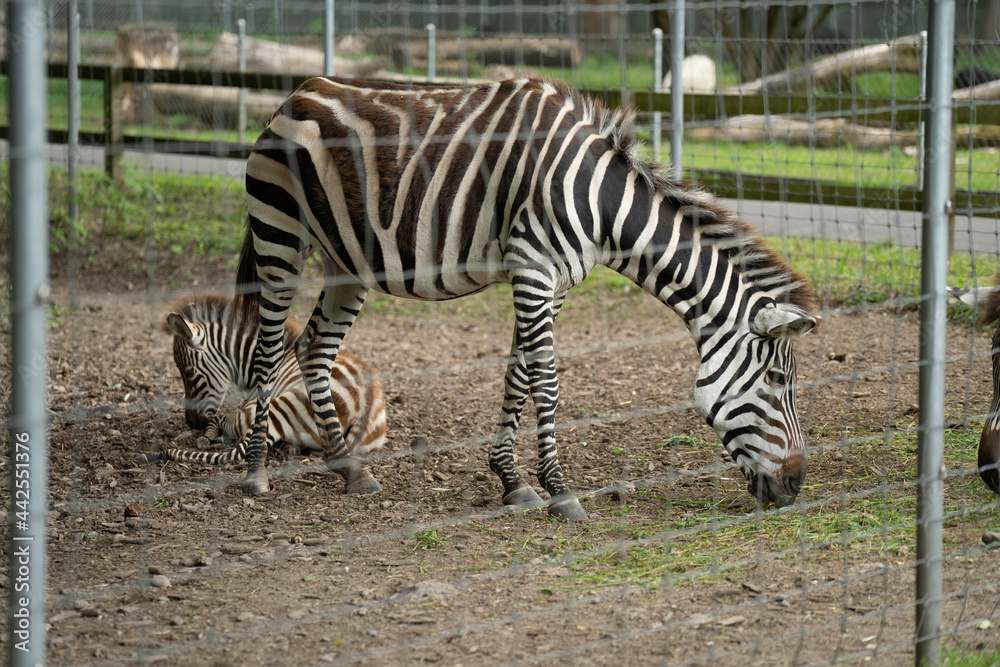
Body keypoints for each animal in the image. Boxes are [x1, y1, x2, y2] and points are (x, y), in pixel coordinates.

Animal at [146, 294, 384, 494]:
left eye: (188, 372)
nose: (192, 423)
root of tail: (367, 403)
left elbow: (218, 420)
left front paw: (206, 436)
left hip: (271, 409)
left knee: (231, 434)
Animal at [236, 75, 820, 520]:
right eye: (778, 380)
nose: (795, 487)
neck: (602, 205)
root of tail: (299, 92)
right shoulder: (532, 269)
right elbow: (548, 382)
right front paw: (561, 492)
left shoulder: (554, 282)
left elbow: (518, 374)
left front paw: (512, 481)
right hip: (279, 233)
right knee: (268, 348)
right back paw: (256, 472)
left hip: (347, 262)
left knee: (314, 348)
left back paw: (349, 469)